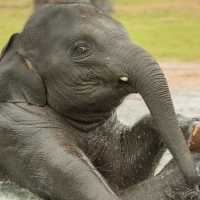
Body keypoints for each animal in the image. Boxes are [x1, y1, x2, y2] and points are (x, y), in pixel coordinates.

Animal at [0, 1, 199, 200]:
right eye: (81, 48)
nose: (194, 184)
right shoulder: (24, 132)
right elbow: (104, 193)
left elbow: (123, 173)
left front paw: (189, 125)